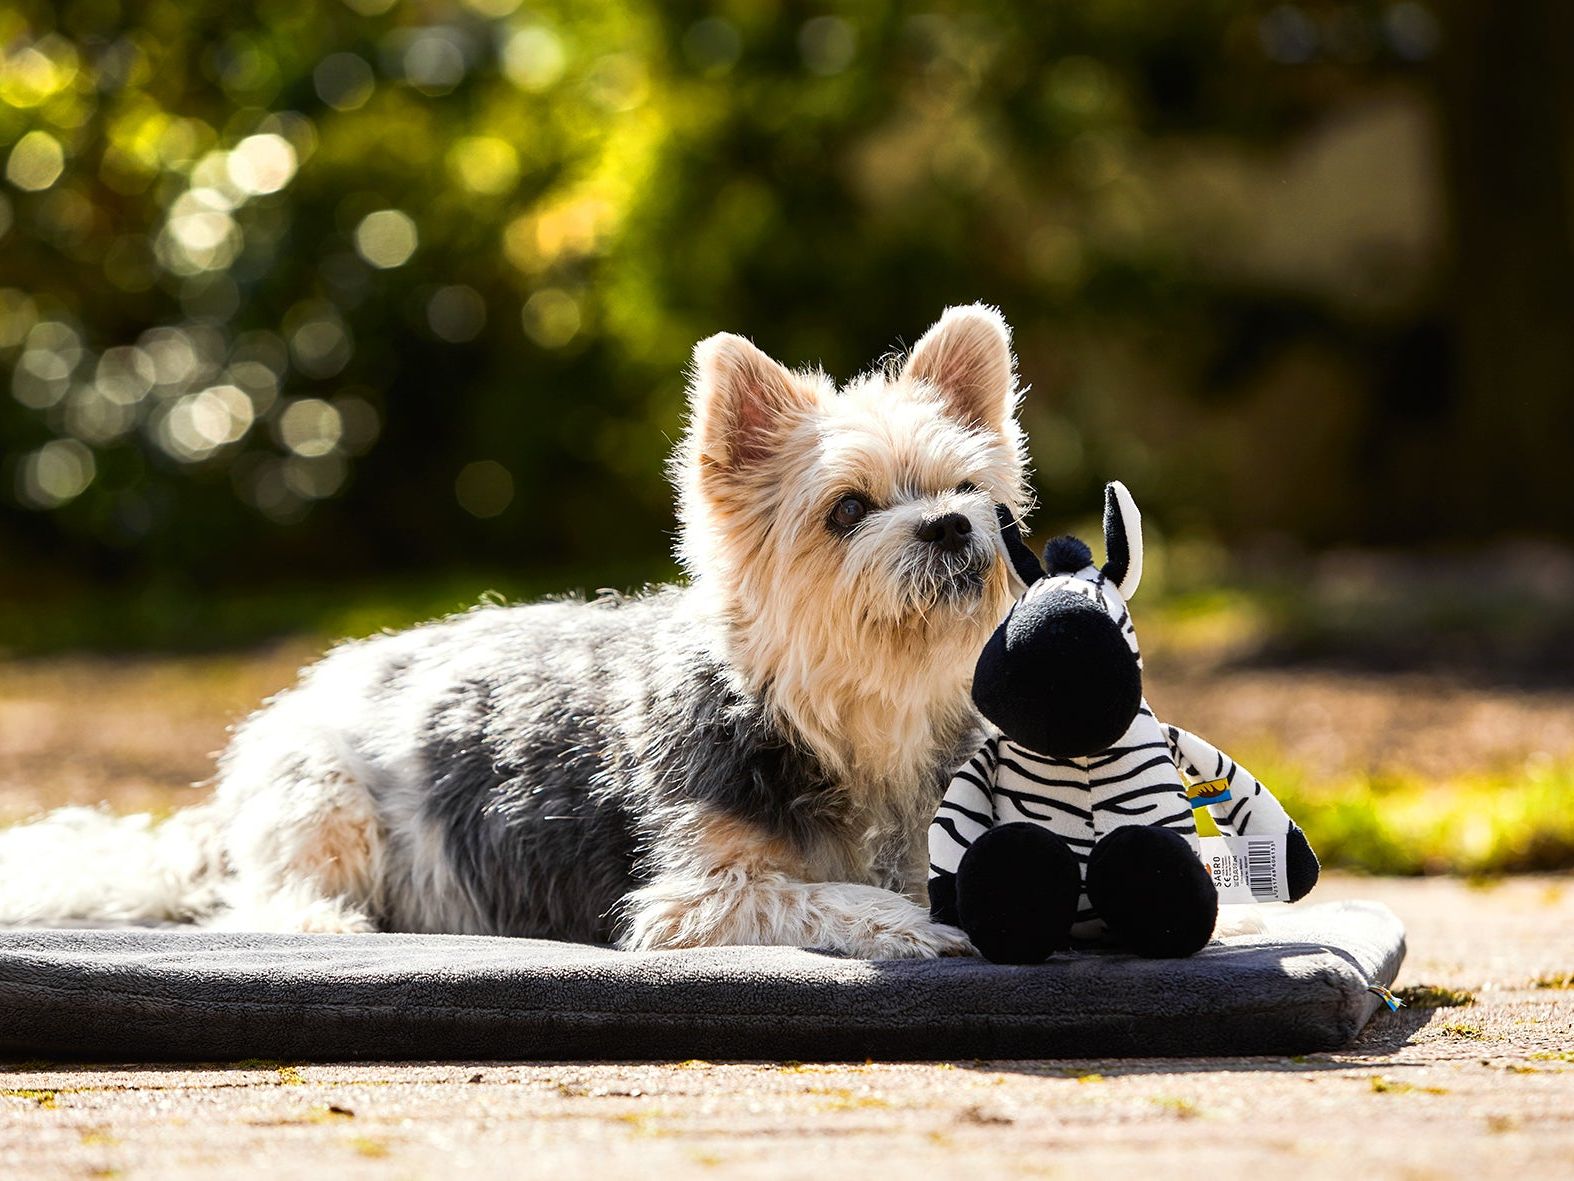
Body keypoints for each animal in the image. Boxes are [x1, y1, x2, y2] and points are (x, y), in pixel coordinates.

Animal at [0, 305, 1032, 963]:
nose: (953, 526)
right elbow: (835, 897)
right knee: (262, 901)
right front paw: (915, 923)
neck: (847, 711)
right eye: (848, 507)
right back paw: (327, 925)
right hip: (323, 797)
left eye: (972, 492)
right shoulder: (692, 898)